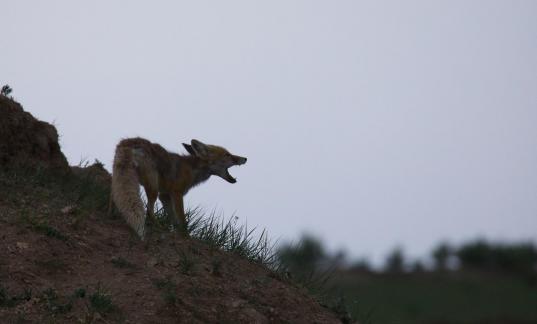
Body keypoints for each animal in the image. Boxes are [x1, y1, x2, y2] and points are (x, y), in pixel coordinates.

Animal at [109, 137, 247, 240]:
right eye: (227, 155)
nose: (245, 158)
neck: (192, 170)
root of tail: (130, 141)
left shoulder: (165, 195)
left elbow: (174, 220)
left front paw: (177, 233)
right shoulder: (176, 193)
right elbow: (182, 219)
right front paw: (185, 236)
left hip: (126, 179)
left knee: (118, 197)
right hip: (153, 187)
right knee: (149, 210)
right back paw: (159, 227)